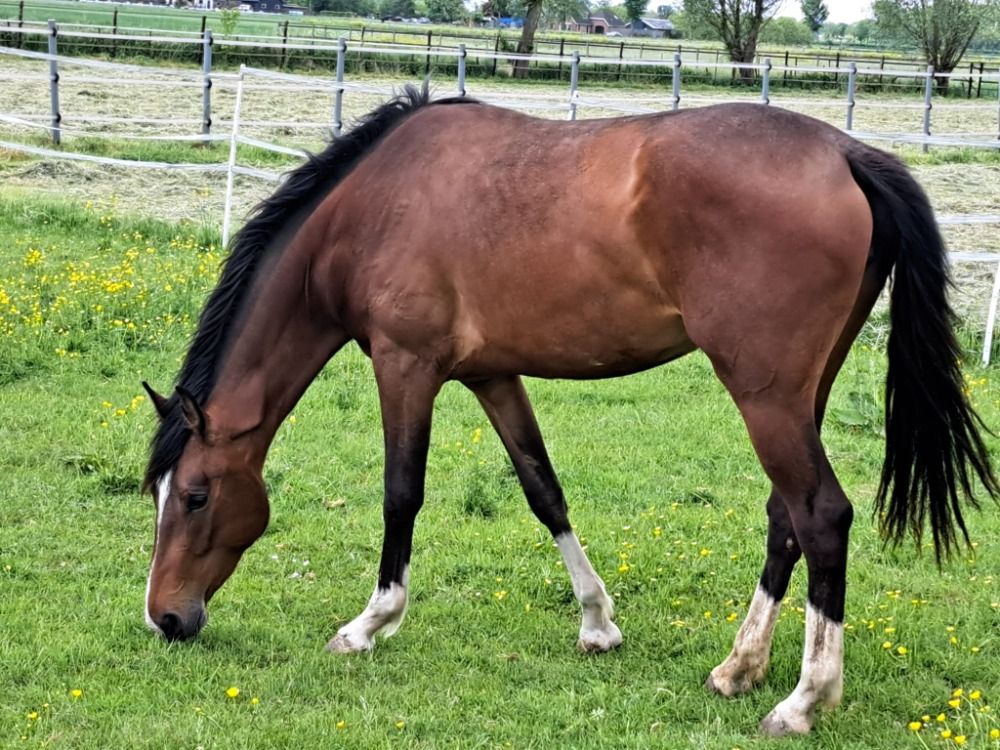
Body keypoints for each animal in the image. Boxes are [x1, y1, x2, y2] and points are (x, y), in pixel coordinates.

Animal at [141, 86, 996, 736]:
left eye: (197, 496)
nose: (166, 620)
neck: (373, 205)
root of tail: (848, 155)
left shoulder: (405, 366)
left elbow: (401, 495)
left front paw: (369, 625)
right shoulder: (492, 375)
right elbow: (542, 488)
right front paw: (597, 623)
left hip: (766, 396)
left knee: (820, 515)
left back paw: (802, 701)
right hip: (797, 394)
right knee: (784, 513)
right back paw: (738, 668)